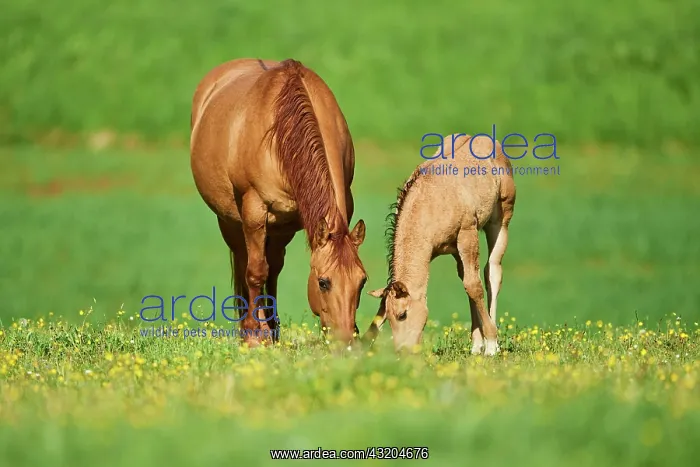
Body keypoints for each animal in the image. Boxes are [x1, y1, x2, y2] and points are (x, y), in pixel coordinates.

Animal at [190, 58, 368, 347]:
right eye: (323, 282)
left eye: (362, 282)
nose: (345, 341)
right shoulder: (253, 211)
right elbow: (254, 272)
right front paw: (253, 336)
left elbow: (269, 271)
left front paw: (269, 331)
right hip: (230, 221)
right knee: (246, 263)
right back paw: (251, 330)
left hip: (280, 227)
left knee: (273, 268)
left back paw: (271, 329)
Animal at [362, 134, 516, 355]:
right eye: (386, 317)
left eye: (402, 314)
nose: (402, 351)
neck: (430, 203)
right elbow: (468, 284)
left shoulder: (467, 234)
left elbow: (474, 285)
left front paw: (492, 344)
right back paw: (476, 344)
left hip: (500, 220)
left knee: (492, 272)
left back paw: (489, 343)